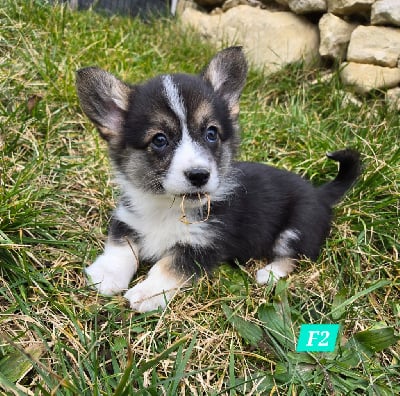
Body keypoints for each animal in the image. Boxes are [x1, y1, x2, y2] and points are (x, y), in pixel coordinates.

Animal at [76, 47, 360, 312]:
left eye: (211, 133)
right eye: (159, 139)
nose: (199, 175)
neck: (168, 206)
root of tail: (319, 193)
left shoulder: (204, 245)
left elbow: (169, 265)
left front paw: (147, 293)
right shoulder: (127, 218)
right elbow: (121, 246)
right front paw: (106, 275)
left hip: (296, 228)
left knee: (296, 256)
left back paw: (269, 273)